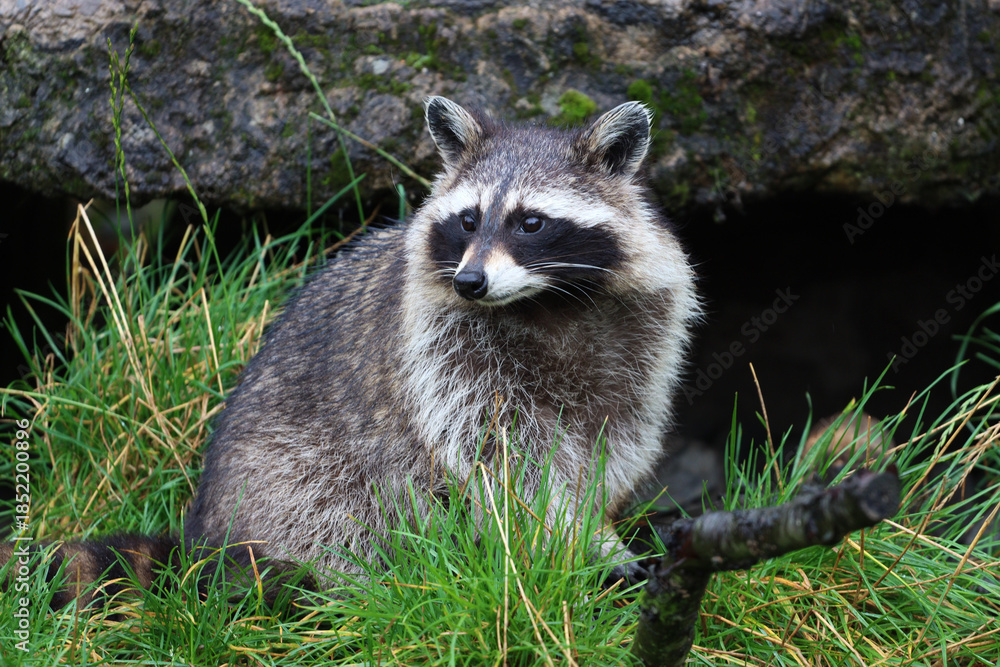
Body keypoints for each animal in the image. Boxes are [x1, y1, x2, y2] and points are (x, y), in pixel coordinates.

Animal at [3, 97, 698, 603]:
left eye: (531, 222)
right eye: (469, 219)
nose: (471, 281)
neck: (546, 302)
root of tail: (206, 537)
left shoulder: (638, 330)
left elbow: (613, 432)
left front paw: (595, 526)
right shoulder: (447, 346)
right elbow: (498, 451)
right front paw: (567, 536)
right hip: (288, 480)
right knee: (343, 512)